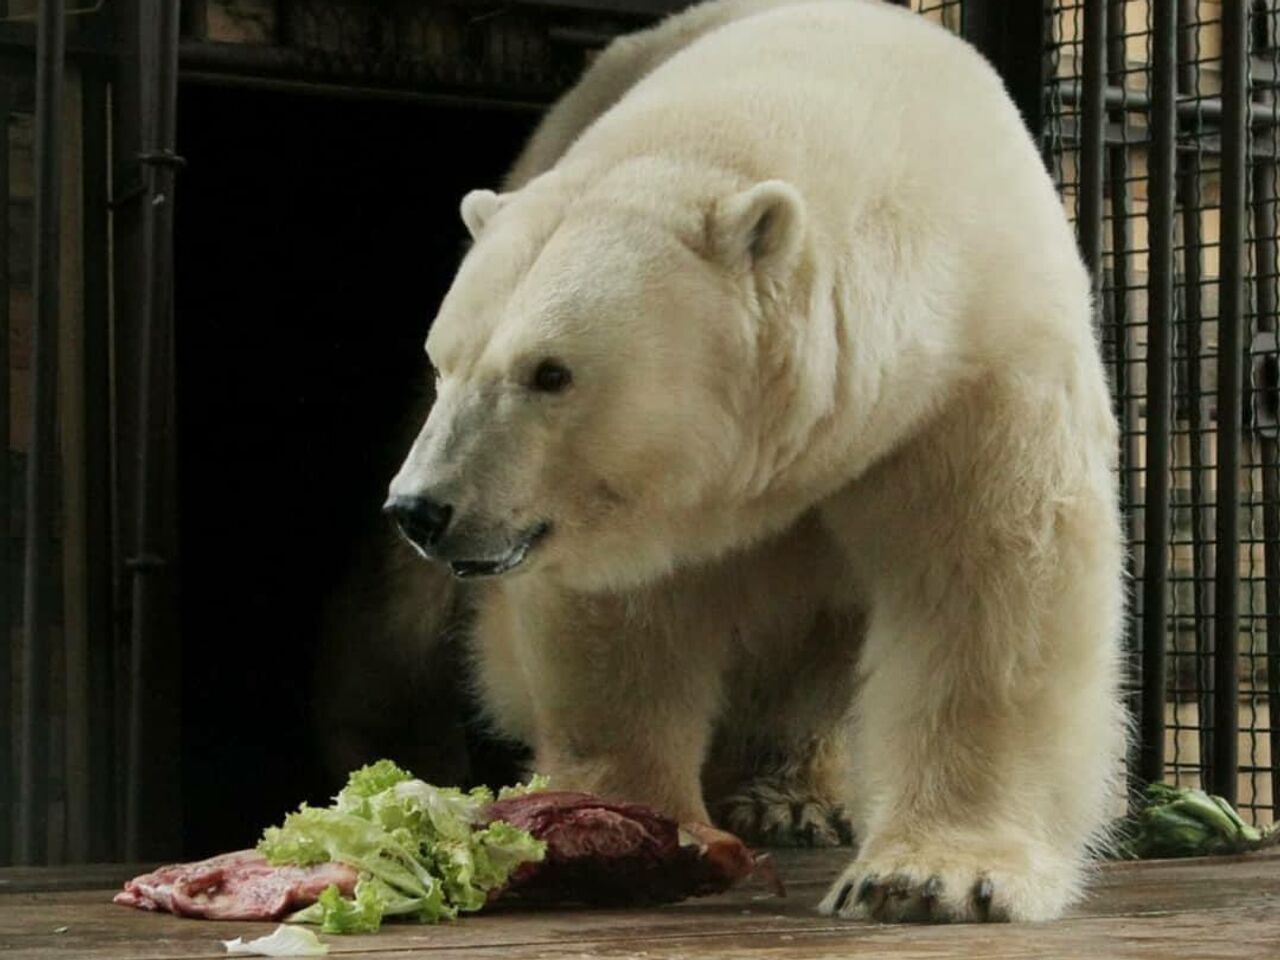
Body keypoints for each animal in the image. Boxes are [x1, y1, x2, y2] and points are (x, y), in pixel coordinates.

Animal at [386, 0, 1121, 926]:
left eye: (550, 372)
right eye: (442, 360)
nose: (421, 507)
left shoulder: (973, 370)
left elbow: (994, 588)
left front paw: (933, 878)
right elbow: (621, 614)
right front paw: (618, 821)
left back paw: (791, 796)